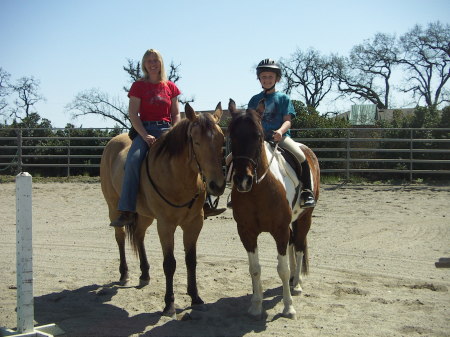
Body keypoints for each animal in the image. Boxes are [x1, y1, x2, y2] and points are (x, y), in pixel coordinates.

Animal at [229, 98, 320, 318]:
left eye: (258, 135)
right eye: (231, 135)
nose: (243, 180)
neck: (259, 188)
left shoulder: (279, 230)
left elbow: (282, 269)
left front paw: (288, 308)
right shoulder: (246, 232)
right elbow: (255, 268)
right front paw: (255, 305)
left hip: (305, 218)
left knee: (299, 245)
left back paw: (297, 284)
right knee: (293, 244)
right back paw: (294, 280)